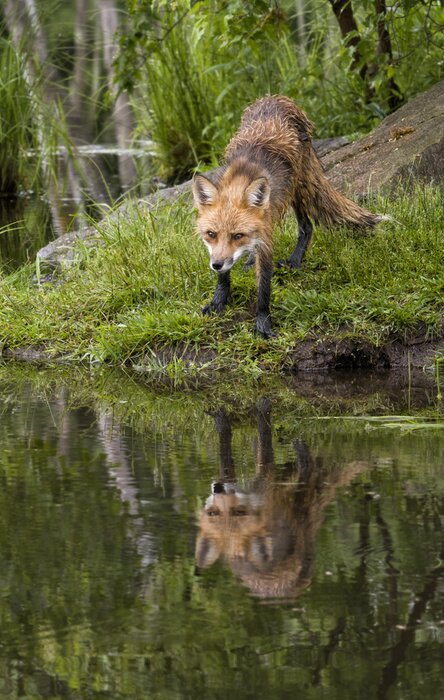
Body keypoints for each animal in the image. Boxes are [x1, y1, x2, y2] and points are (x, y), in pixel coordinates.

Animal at [192, 95, 387, 338]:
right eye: (211, 234)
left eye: (238, 235)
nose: (216, 264)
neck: (242, 176)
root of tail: (276, 97)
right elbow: (224, 278)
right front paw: (218, 301)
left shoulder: (266, 239)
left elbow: (264, 288)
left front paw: (263, 323)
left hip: (298, 188)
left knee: (307, 226)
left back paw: (294, 261)